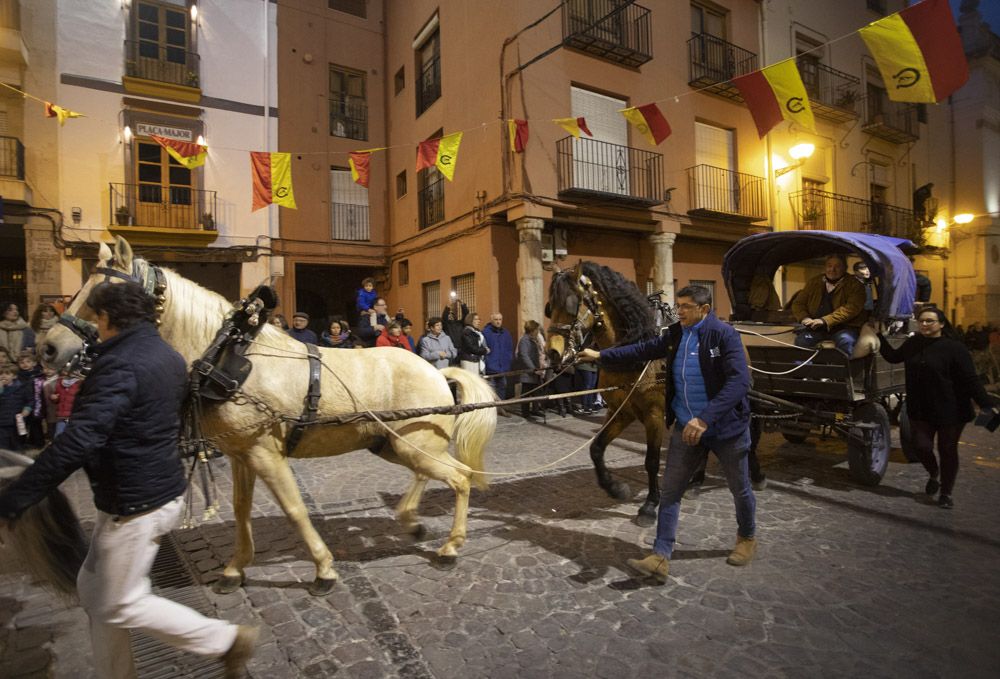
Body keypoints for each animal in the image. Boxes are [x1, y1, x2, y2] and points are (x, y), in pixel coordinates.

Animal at [42, 238, 496, 596]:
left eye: (102, 293)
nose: (49, 348)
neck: (225, 356)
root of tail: (438, 372)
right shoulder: (242, 454)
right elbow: (242, 509)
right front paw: (234, 568)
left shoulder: (265, 452)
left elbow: (294, 509)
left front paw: (323, 569)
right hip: (392, 443)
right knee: (429, 475)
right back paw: (412, 521)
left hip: (413, 443)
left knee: (458, 478)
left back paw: (450, 545)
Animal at [548, 262, 680, 528]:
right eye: (550, 307)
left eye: (570, 304)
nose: (552, 353)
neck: (636, 349)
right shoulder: (621, 411)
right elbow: (596, 448)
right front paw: (614, 487)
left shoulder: (654, 414)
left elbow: (651, 461)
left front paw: (650, 505)